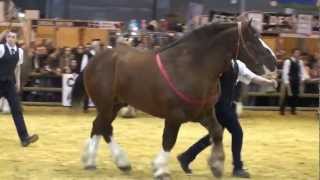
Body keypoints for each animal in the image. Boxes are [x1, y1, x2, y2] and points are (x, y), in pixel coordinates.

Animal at [71, 20, 276, 179]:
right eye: (253, 39)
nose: (274, 62)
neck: (192, 67)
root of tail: (94, 60)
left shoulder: (204, 113)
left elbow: (217, 133)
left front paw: (216, 165)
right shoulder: (174, 116)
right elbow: (169, 140)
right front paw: (161, 170)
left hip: (115, 104)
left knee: (100, 127)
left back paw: (99, 162)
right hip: (106, 104)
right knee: (103, 127)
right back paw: (111, 161)